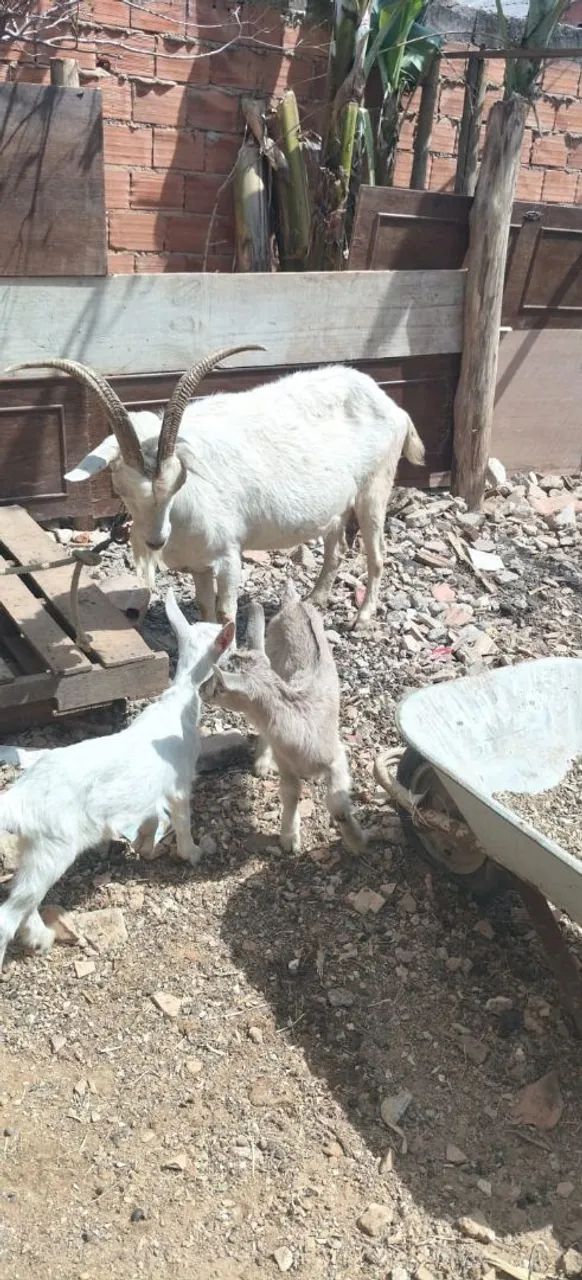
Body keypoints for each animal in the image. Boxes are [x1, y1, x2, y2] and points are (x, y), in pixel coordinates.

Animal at [0, 592, 233, 970]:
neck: (179, 701)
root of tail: (18, 798)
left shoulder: (150, 791)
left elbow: (151, 817)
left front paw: (144, 846)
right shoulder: (179, 784)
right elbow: (182, 821)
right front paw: (192, 853)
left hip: (33, 846)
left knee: (24, 899)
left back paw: (41, 938)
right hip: (54, 846)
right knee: (9, 914)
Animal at [5, 353, 425, 628]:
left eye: (178, 481)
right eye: (122, 487)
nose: (155, 541)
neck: (181, 515)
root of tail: (390, 405)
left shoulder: (227, 557)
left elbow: (225, 614)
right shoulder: (199, 564)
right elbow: (205, 611)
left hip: (375, 488)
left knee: (377, 554)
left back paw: (362, 618)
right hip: (336, 504)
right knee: (335, 547)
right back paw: (315, 599)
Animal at [201, 583, 366, 855]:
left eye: (219, 687)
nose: (200, 690)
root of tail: (294, 602)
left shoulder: (336, 755)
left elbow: (338, 804)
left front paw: (357, 841)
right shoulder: (285, 761)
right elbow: (290, 794)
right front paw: (290, 839)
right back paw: (261, 764)